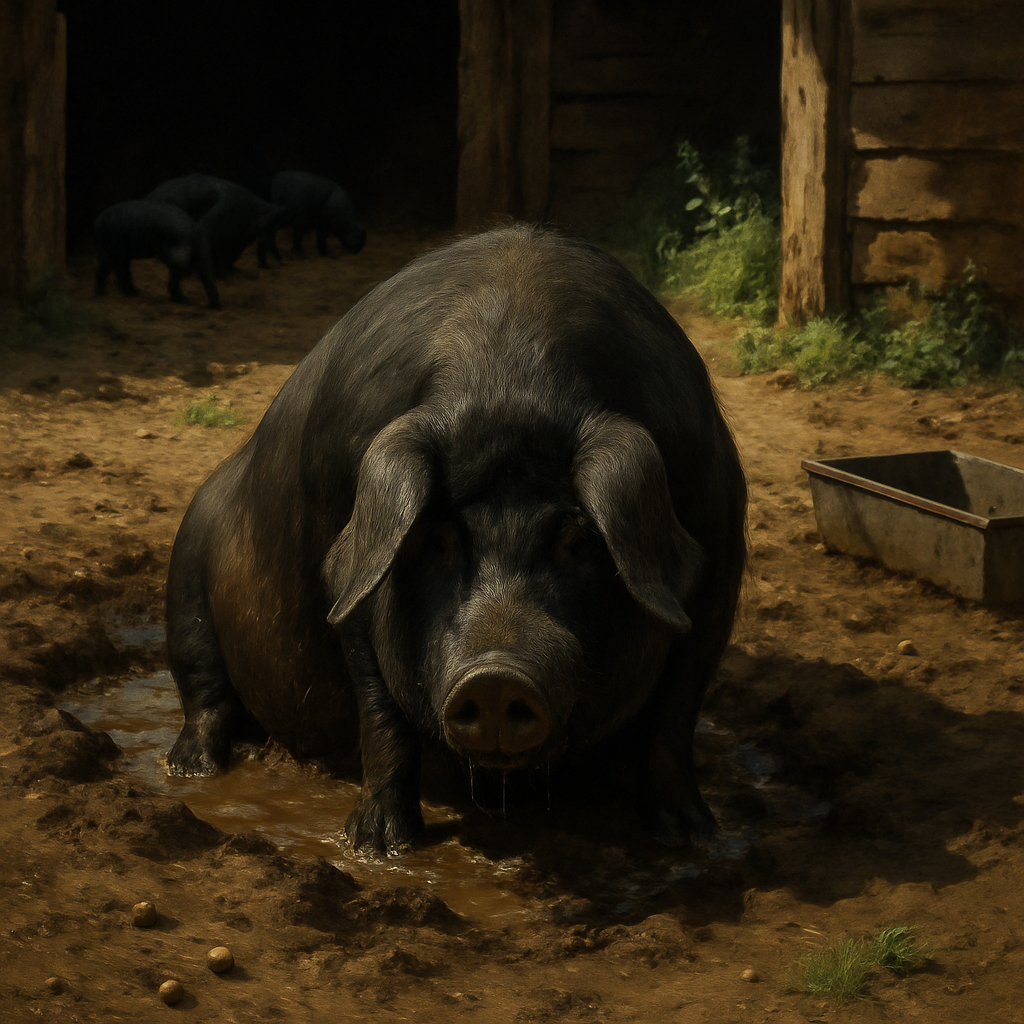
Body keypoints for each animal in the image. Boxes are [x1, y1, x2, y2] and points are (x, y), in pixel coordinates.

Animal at [164, 224, 747, 854]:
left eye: (578, 538)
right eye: (438, 538)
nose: (494, 677)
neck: (508, 381)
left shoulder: (716, 563)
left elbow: (676, 709)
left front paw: (695, 837)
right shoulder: (344, 562)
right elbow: (378, 706)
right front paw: (378, 847)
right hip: (185, 576)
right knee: (203, 691)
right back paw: (191, 770)